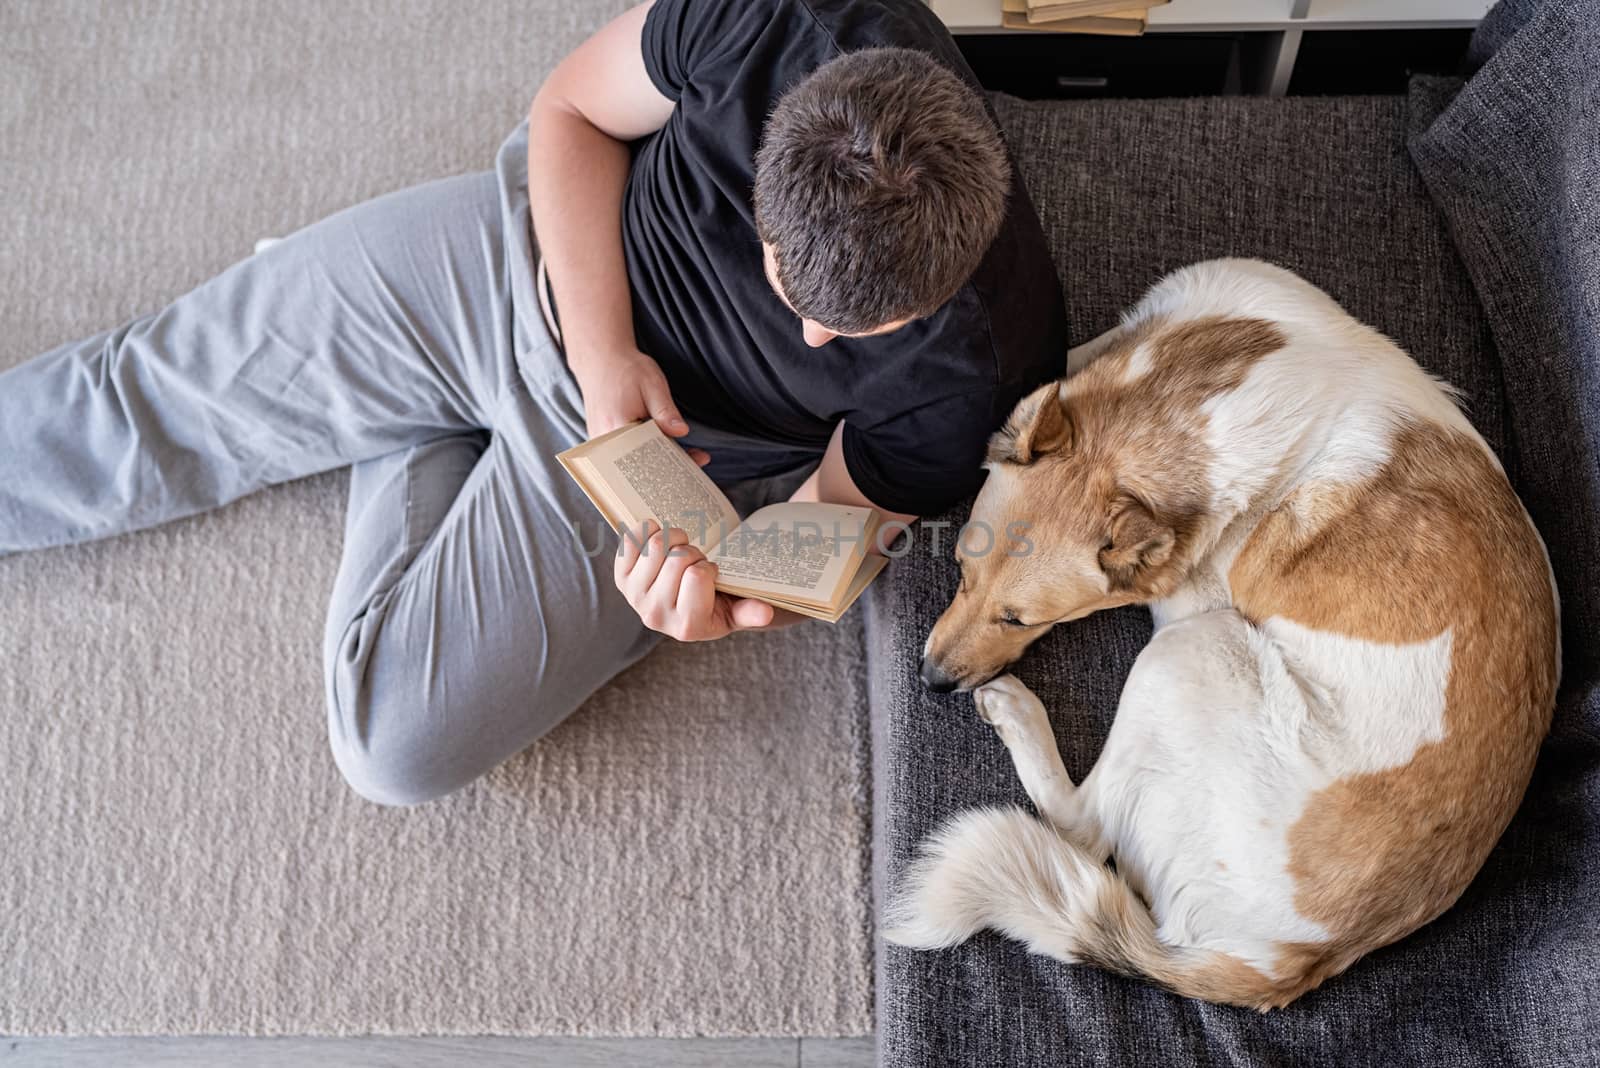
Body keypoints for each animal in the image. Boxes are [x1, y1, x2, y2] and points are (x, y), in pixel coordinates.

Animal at [883, 259, 1555, 1010]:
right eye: (960, 572)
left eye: (1021, 621)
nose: (931, 681)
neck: (1171, 421)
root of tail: (1288, 962)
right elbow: (1068, 359)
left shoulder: (1185, 601)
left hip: (1193, 652)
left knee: (1084, 823)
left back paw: (1015, 710)